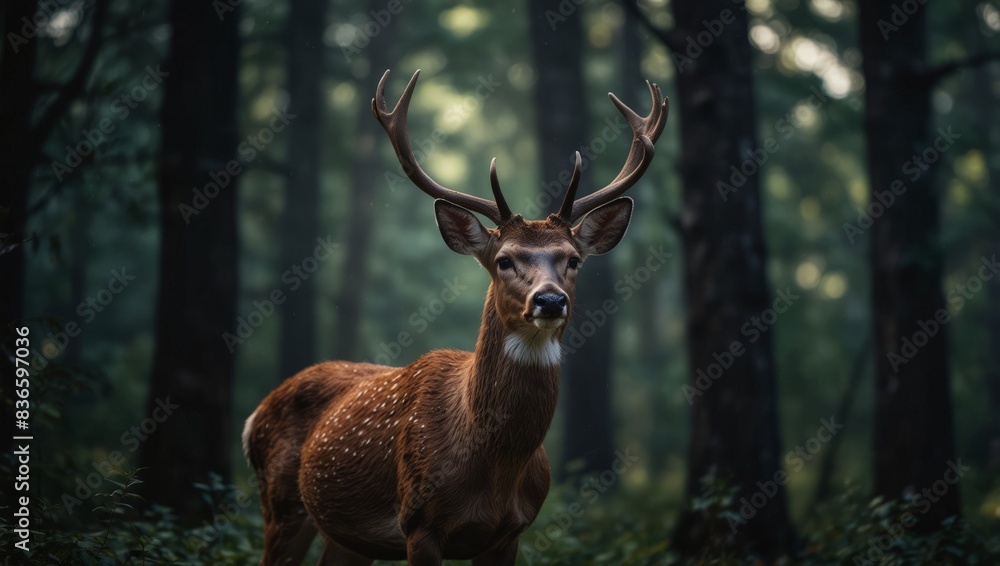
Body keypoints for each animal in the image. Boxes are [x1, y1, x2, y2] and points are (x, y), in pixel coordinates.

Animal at [243, 69, 667, 565]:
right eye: (504, 260)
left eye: (573, 259)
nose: (549, 301)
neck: (494, 467)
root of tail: (253, 417)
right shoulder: (418, 521)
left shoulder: (511, 532)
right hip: (280, 504)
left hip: (345, 538)